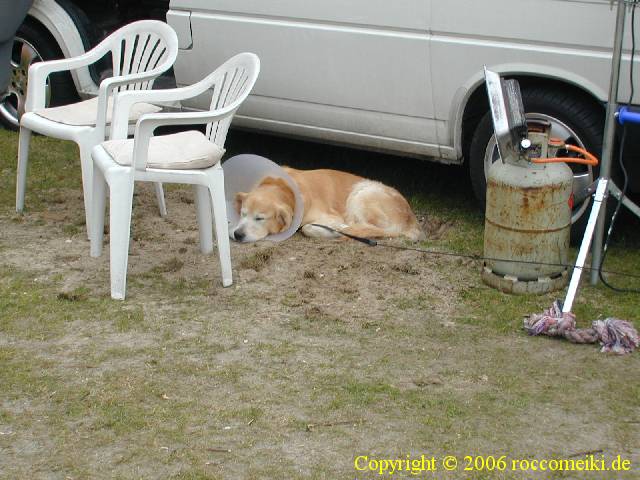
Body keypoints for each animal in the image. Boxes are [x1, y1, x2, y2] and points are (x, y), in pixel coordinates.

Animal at [232, 167, 425, 243]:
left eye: (260, 218)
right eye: (242, 214)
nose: (237, 234)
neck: (287, 189)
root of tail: (410, 219)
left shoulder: (330, 216)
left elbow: (308, 228)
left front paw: (333, 230)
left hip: (362, 192)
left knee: (369, 228)